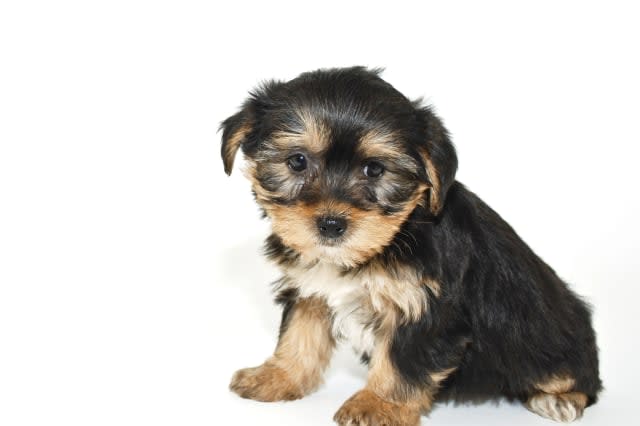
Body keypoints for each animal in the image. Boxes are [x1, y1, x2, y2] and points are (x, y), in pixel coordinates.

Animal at [220, 68, 600, 424]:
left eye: (375, 170)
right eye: (297, 161)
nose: (331, 225)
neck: (386, 244)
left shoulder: (425, 309)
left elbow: (402, 362)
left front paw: (377, 404)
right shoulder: (309, 288)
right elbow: (299, 333)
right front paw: (278, 376)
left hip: (549, 340)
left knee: (577, 376)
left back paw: (559, 398)